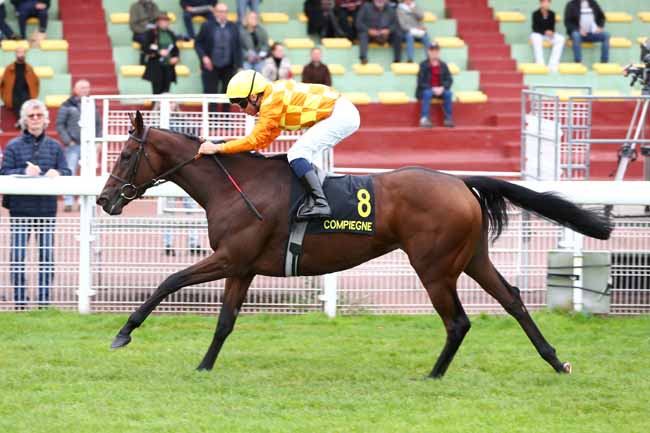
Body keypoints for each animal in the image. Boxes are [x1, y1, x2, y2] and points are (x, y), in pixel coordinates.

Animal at [97, 111, 612, 378]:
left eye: (125, 155)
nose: (103, 199)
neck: (235, 187)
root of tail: (460, 181)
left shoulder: (230, 258)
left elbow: (169, 280)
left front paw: (123, 332)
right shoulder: (242, 267)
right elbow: (224, 322)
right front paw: (204, 366)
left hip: (434, 267)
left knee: (459, 321)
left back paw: (434, 374)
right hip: (472, 258)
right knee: (513, 300)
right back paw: (556, 361)